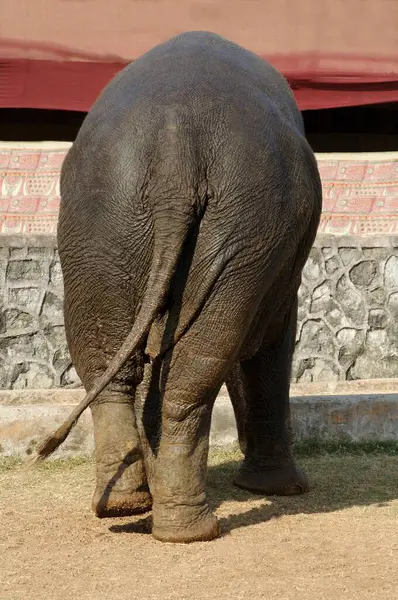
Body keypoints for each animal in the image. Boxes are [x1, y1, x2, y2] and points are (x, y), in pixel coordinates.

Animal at [32, 29, 322, 544]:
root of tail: (176, 151)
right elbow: (271, 340)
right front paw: (282, 489)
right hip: (236, 224)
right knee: (195, 369)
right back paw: (192, 530)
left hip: (106, 219)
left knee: (111, 355)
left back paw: (126, 505)